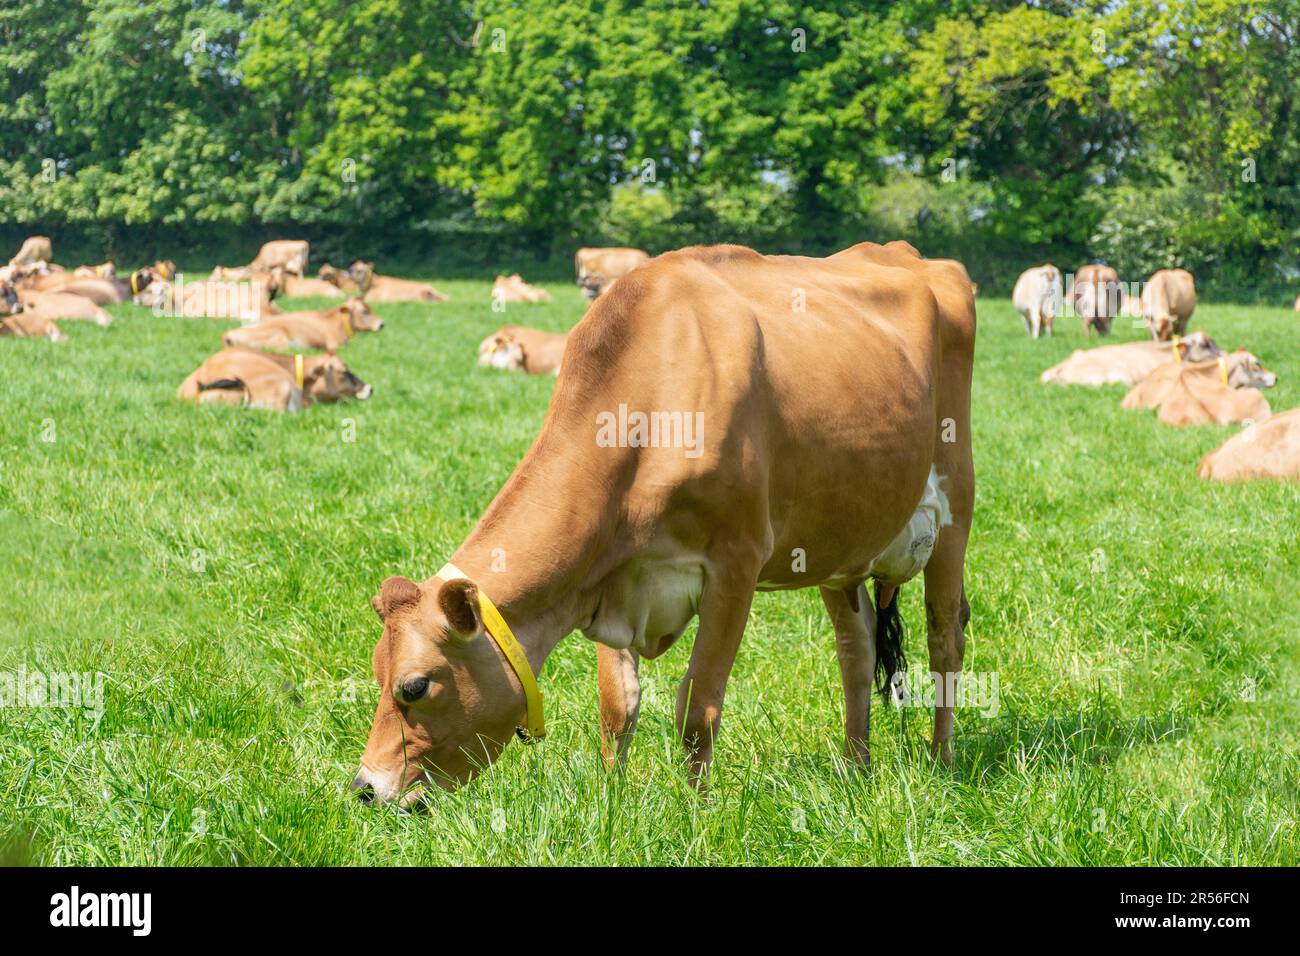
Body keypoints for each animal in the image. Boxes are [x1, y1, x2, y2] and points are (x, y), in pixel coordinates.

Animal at [356, 240, 977, 806]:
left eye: (415, 686)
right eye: (377, 673)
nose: (365, 788)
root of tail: (912, 255)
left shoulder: (736, 563)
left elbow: (697, 707)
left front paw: (696, 812)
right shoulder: (607, 573)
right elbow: (617, 706)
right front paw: (611, 801)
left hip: (955, 508)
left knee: (945, 637)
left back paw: (943, 762)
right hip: (840, 542)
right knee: (857, 649)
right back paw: (855, 768)